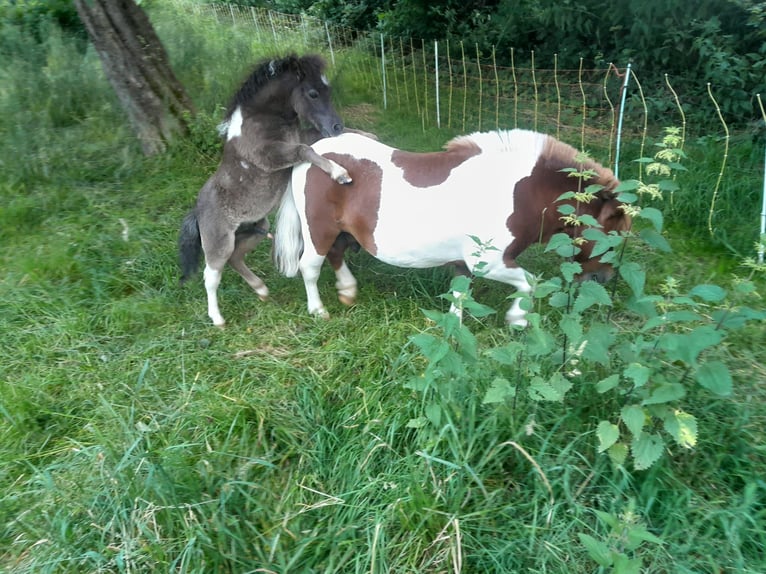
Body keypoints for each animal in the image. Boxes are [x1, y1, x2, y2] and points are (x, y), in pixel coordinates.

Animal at [180, 54, 354, 328]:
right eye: (313, 93)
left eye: (328, 90)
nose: (336, 126)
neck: (262, 119)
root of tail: (196, 212)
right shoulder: (271, 156)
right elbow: (305, 150)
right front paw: (340, 173)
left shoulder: (299, 135)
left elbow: (312, 140)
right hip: (219, 243)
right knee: (211, 276)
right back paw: (217, 319)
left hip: (256, 230)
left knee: (236, 258)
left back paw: (261, 290)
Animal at [272, 132, 632, 328]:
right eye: (611, 238)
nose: (602, 279)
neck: (522, 191)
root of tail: (312, 153)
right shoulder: (489, 262)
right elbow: (531, 283)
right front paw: (517, 319)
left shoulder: (466, 264)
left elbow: (459, 296)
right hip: (318, 231)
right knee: (310, 267)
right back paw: (318, 310)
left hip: (339, 232)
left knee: (336, 254)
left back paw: (347, 290)